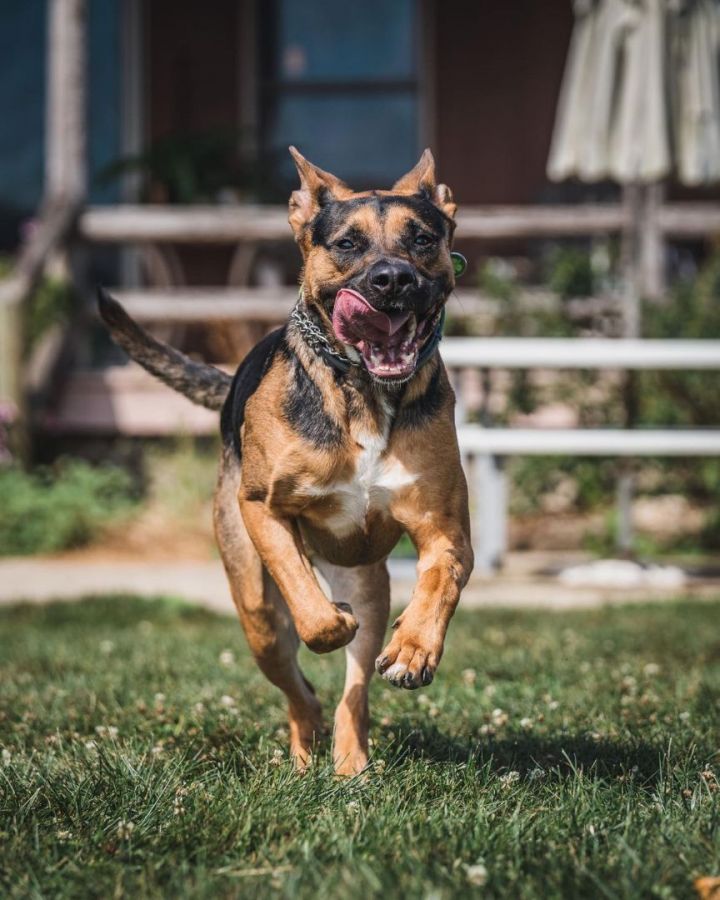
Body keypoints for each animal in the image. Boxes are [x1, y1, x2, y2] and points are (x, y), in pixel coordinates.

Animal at [100, 148, 472, 772]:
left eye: (422, 238)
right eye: (347, 244)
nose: (393, 279)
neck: (363, 392)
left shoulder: (444, 527)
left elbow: (442, 576)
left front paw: (415, 648)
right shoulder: (263, 509)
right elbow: (311, 608)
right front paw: (329, 619)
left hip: (368, 585)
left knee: (354, 690)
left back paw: (350, 765)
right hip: (258, 615)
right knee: (299, 682)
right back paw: (304, 752)